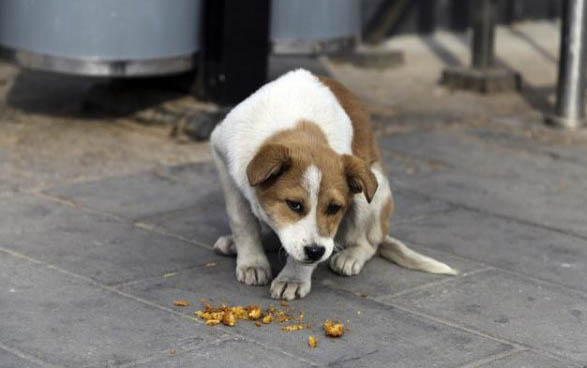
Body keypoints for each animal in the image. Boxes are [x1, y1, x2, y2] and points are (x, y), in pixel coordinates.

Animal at [209, 69, 458, 300]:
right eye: (294, 205)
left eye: (334, 208)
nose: (315, 252)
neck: (298, 122)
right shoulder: (224, 158)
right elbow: (242, 222)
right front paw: (252, 262)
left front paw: (293, 278)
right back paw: (238, 243)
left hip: (370, 194)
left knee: (368, 243)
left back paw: (350, 257)